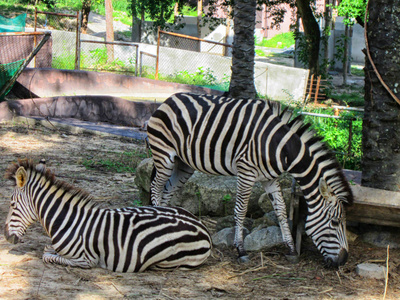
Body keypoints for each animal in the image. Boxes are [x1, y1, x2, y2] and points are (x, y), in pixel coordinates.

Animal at [3, 159, 212, 272]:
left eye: (12, 205)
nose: (6, 237)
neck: (68, 221)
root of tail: (203, 227)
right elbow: (48, 249)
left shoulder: (86, 260)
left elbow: (47, 255)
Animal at [147, 92, 354, 268]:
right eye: (335, 222)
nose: (344, 260)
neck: (281, 148)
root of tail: (169, 99)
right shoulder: (246, 172)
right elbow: (241, 210)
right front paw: (240, 250)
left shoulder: (270, 179)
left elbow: (281, 210)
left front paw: (291, 250)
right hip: (164, 155)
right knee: (156, 188)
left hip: (184, 164)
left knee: (167, 191)